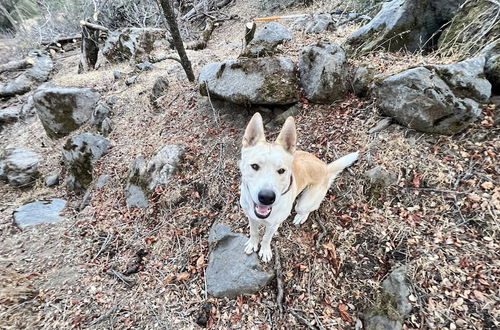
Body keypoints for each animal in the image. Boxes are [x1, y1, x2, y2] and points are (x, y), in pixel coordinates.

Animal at [239, 112, 360, 262]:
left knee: (308, 208)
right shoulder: (251, 217)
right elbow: (253, 232)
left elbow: (266, 238)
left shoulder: (273, 225)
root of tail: (325, 168)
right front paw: (253, 243)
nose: (267, 198)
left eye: (281, 170)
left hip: (303, 203)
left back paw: (300, 217)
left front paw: (265, 250)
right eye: (255, 166)